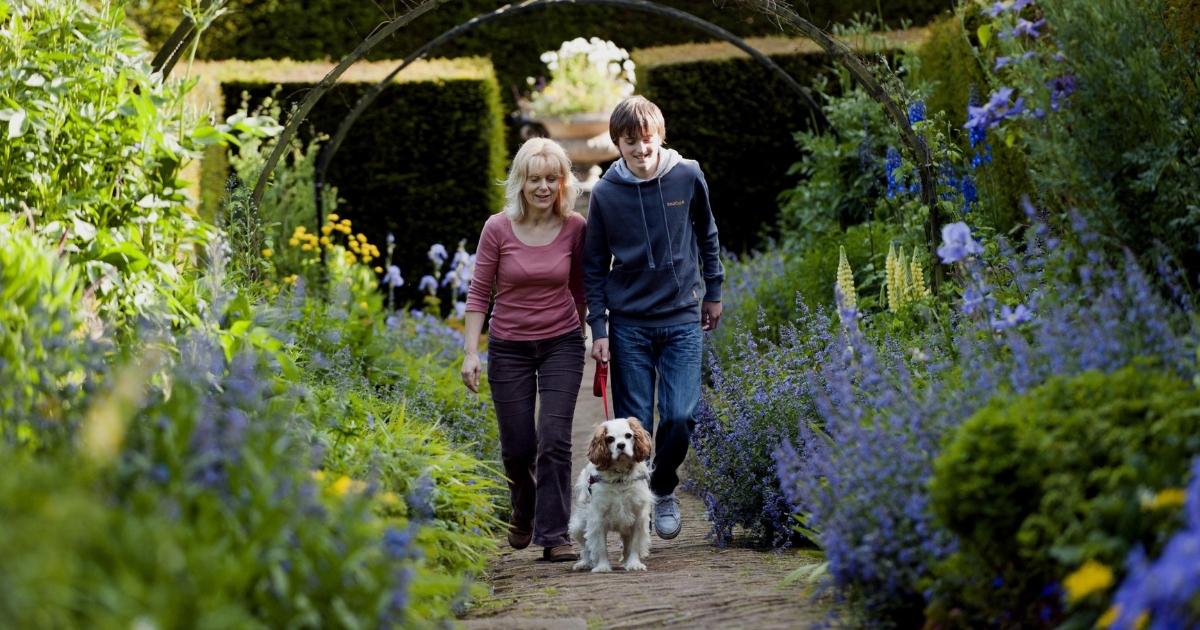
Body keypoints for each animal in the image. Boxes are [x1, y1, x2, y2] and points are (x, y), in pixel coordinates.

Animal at [566, 417, 652, 568]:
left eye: (628, 435)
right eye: (610, 439)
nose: (621, 445)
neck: (620, 475)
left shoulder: (638, 516)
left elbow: (635, 544)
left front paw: (634, 564)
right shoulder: (598, 516)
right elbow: (600, 546)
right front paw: (602, 567)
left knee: (626, 543)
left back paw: (625, 561)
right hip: (579, 525)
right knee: (585, 547)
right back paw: (584, 563)